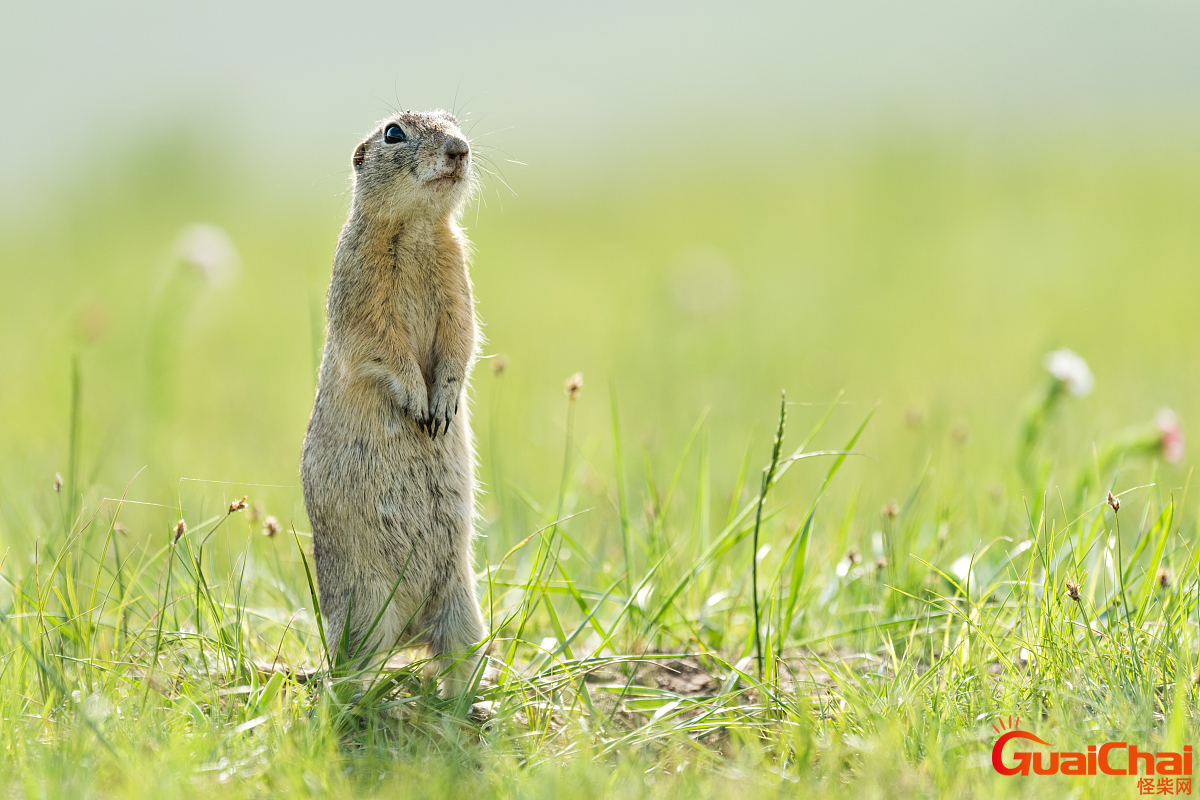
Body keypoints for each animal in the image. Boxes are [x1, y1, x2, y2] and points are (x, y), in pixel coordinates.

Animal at [302, 109, 484, 690]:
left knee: (457, 657)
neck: (419, 229)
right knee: (354, 666)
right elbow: (382, 343)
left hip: (462, 607)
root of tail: (409, 632)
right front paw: (417, 402)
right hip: (363, 608)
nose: (459, 149)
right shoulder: (361, 282)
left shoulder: (458, 277)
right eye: (393, 133)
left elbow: (462, 337)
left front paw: (444, 402)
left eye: (453, 120)